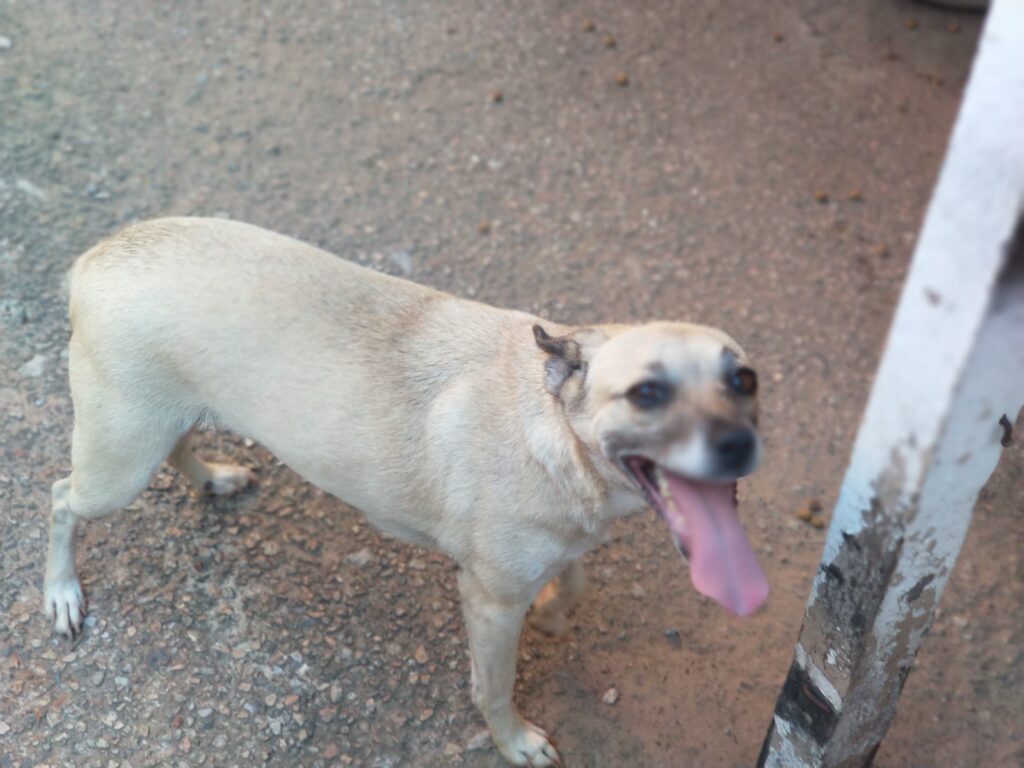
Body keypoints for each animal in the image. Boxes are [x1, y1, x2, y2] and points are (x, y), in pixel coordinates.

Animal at [46, 218, 770, 768]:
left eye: (745, 380)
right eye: (647, 393)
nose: (739, 445)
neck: (549, 423)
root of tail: (94, 259)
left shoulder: (555, 546)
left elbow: (575, 576)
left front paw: (557, 610)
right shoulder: (490, 603)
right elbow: (495, 688)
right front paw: (513, 742)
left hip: (160, 426)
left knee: (174, 447)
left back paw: (211, 478)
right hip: (116, 468)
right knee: (59, 498)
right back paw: (61, 592)